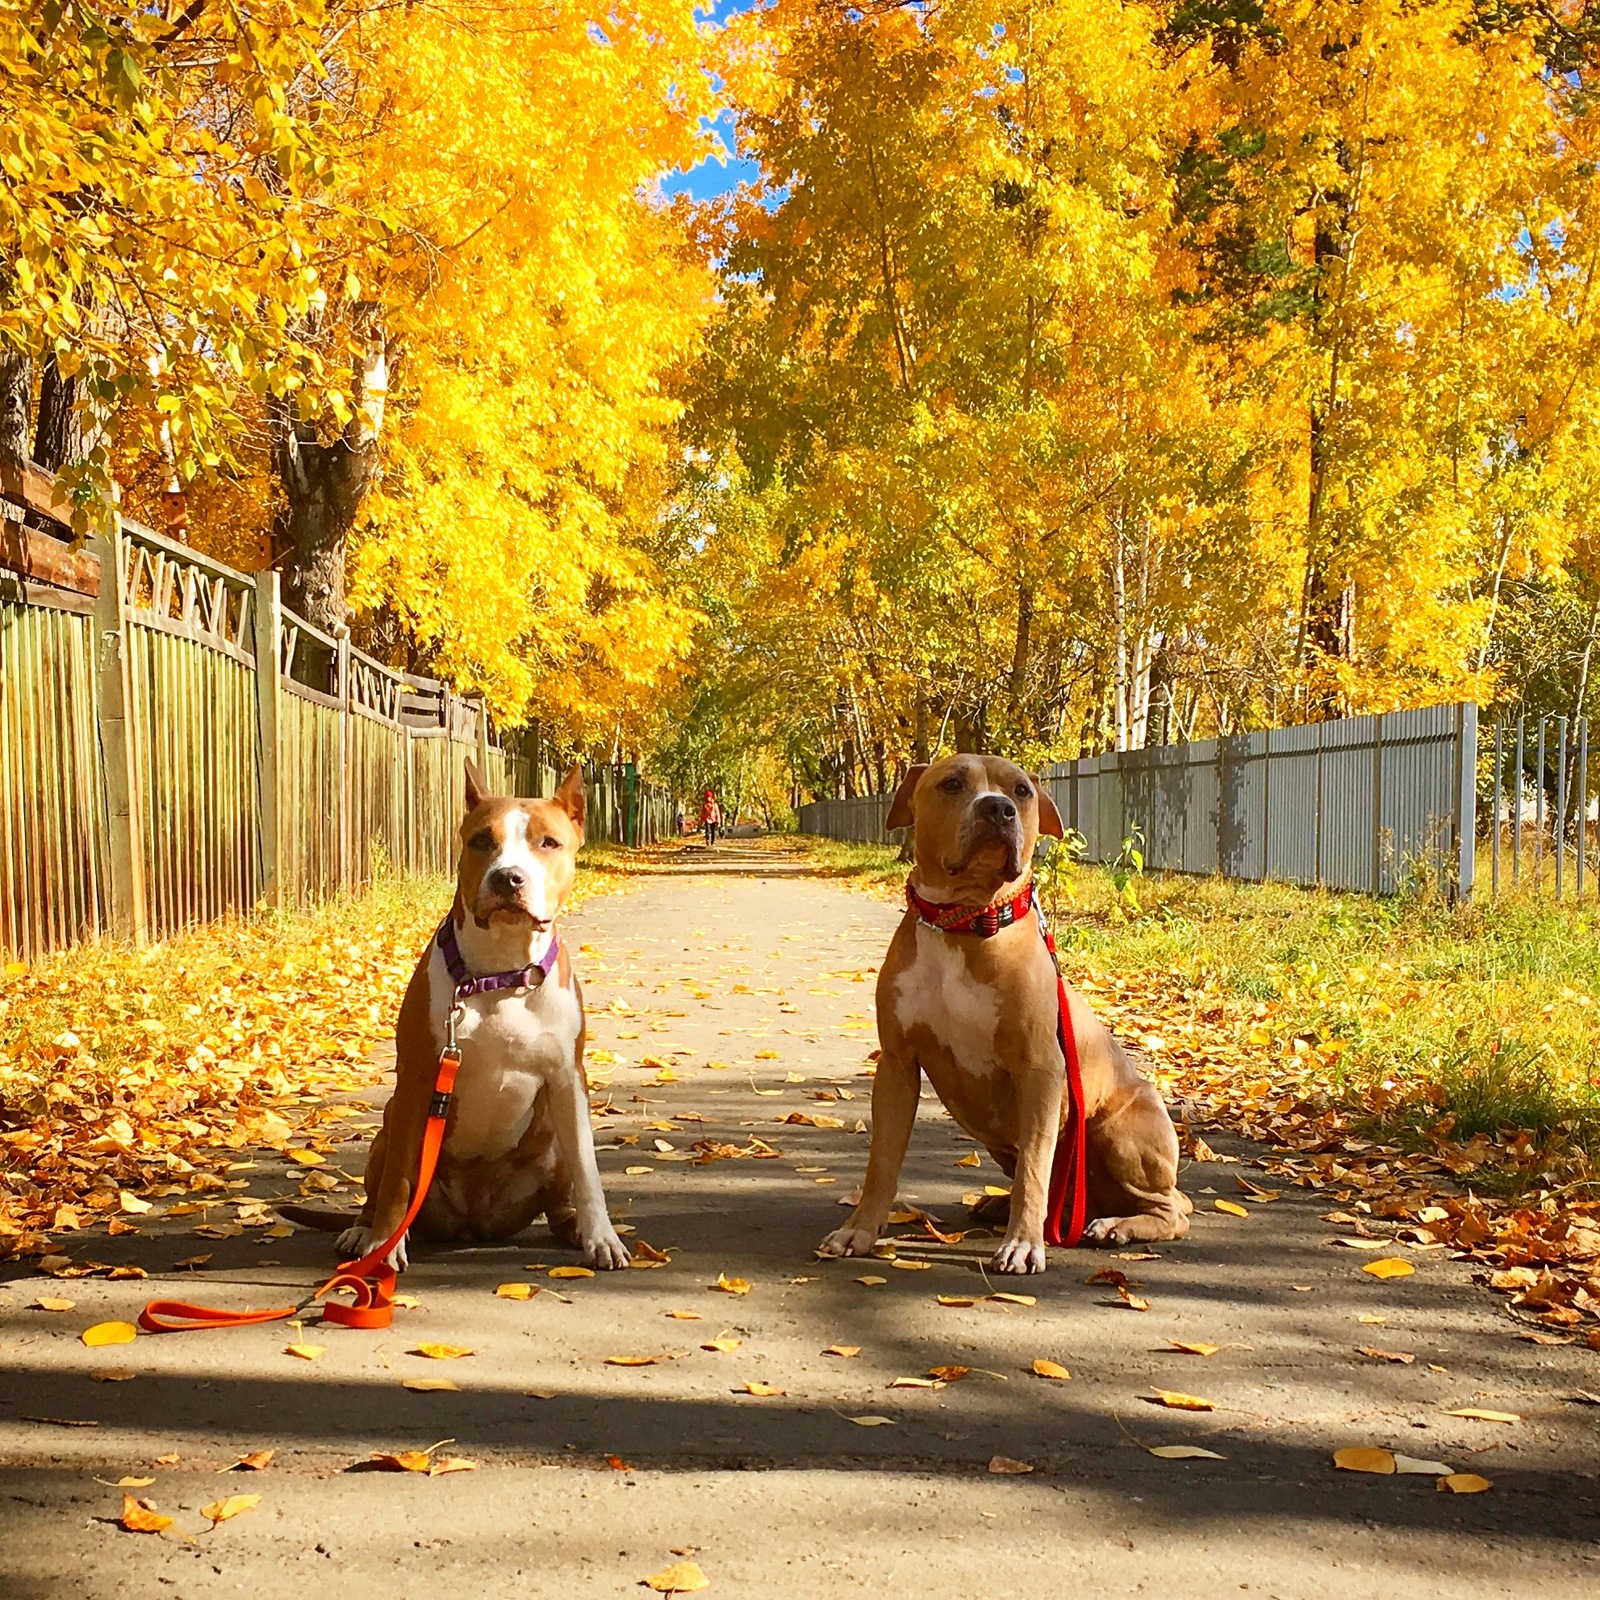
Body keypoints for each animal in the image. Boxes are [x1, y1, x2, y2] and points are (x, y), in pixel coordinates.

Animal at [291, 761, 627, 1273]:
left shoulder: (569, 1079)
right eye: (482, 840)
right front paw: (384, 1245)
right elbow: (397, 1183)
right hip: (388, 1126)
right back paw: (362, 1233)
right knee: (380, 1189)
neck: (498, 975)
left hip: (550, 1141)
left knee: (559, 1196)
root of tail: (473, 1224)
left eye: (549, 842)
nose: (508, 878)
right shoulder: (417, 1080)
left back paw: (573, 1229)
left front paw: (602, 1237)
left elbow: (587, 1170)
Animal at [825, 752, 1190, 1273]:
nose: (998, 808)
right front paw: (859, 1230)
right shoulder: (896, 1065)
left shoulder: (1040, 1070)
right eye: (951, 784)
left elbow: (1035, 1168)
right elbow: (882, 1160)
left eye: (1022, 790)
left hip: (1121, 1132)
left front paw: (1023, 1243)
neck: (966, 924)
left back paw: (1116, 1227)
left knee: (1173, 1208)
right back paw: (1006, 1205)